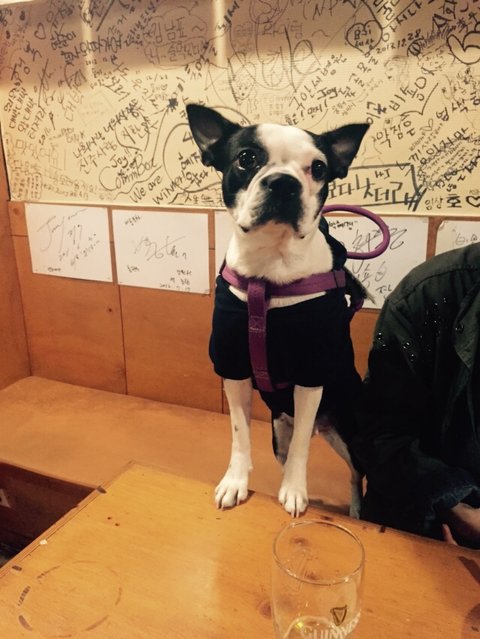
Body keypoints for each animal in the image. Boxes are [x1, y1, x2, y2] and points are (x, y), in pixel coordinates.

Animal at [186, 104, 369, 517]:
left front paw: (296, 491)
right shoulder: (233, 367)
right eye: (246, 158)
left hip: (349, 431)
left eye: (318, 168)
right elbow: (239, 434)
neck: (270, 268)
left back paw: (353, 510)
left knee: (355, 473)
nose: (284, 183)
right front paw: (235, 482)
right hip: (278, 431)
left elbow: (302, 448)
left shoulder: (311, 373)